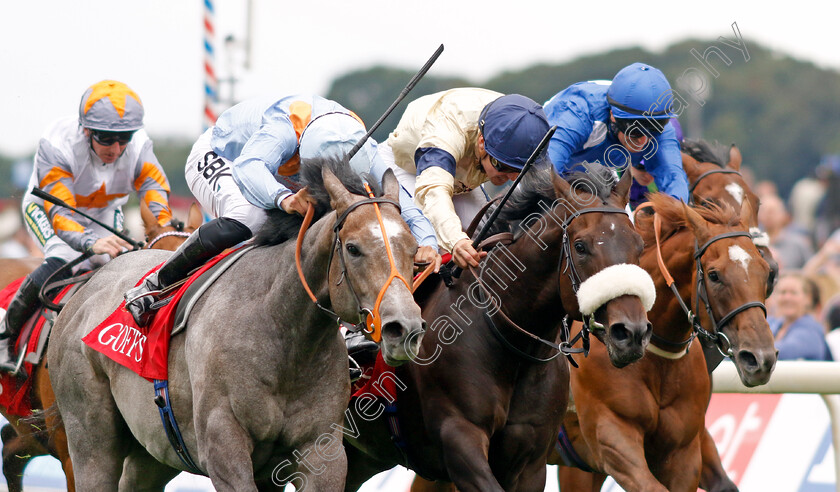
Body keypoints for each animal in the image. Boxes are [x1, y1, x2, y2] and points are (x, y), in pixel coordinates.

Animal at [49, 159, 424, 492]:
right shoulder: (224, 449)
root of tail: (83, 292)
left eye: (414, 248)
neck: (281, 334)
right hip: (90, 441)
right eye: (353, 248)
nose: (403, 328)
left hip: (152, 451)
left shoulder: (321, 450)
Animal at [342, 163, 656, 490]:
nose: (631, 332)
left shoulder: (531, 459)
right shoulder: (459, 437)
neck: (511, 347)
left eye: (639, 245)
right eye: (580, 246)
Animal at [556, 193, 776, 492]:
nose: (761, 358)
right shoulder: (611, 438)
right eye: (714, 275)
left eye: (766, 273)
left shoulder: (685, 451)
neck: (654, 359)